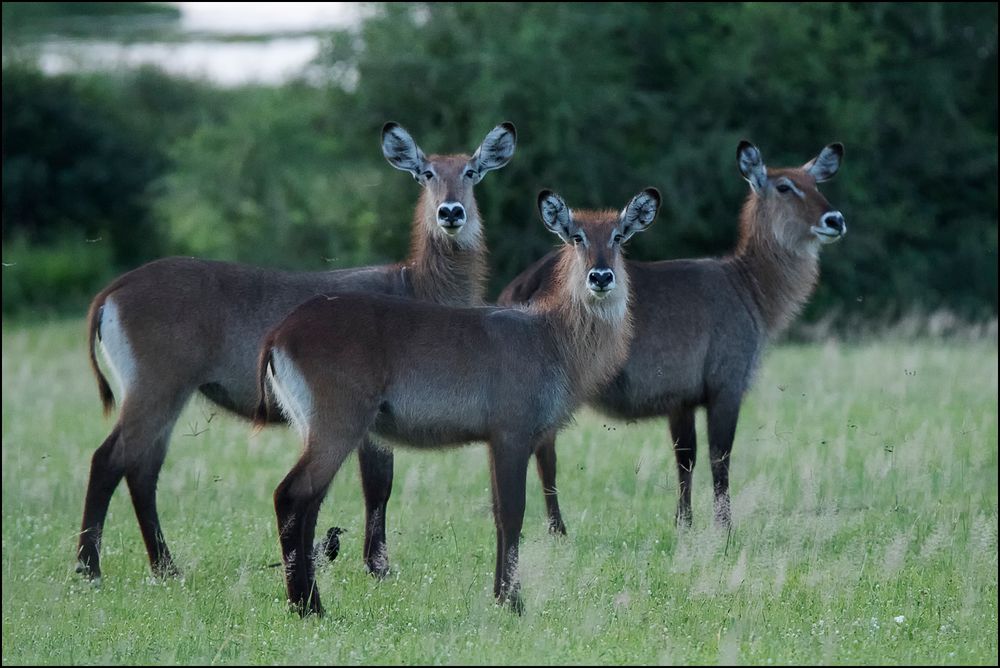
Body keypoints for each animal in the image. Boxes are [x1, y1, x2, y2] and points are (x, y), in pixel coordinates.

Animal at [76, 120, 516, 580]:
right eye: (426, 173)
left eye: (471, 171)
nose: (450, 213)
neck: (415, 284)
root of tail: (114, 288)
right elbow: (379, 485)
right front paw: (378, 567)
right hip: (157, 388)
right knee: (108, 460)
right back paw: (90, 569)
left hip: (167, 395)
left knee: (142, 471)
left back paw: (166, 568)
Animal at [256, 188, 664, 616]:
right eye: (576, 237)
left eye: (618, 236)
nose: (600, 277)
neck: (551, 337)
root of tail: (281, 332)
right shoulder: (511, 434)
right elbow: (514, 511)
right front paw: (514, 601)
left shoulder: (497, 441)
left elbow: (499, 512)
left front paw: (501, 595)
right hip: (337, 426)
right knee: (291, 496)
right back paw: (308, 607)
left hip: (313, 428)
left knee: (309, 506)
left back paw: (307, 602)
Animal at [498, 141, 844, 532]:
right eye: (785, 186)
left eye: (817, 183)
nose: (835, 220)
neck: (749, 287)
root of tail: (519, 285)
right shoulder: (726, 385)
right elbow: (720, 456)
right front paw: (723, 526)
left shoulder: (682, 398)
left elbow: (685, 458)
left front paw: (684, 523)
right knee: (545, 453)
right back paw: (558, 529)